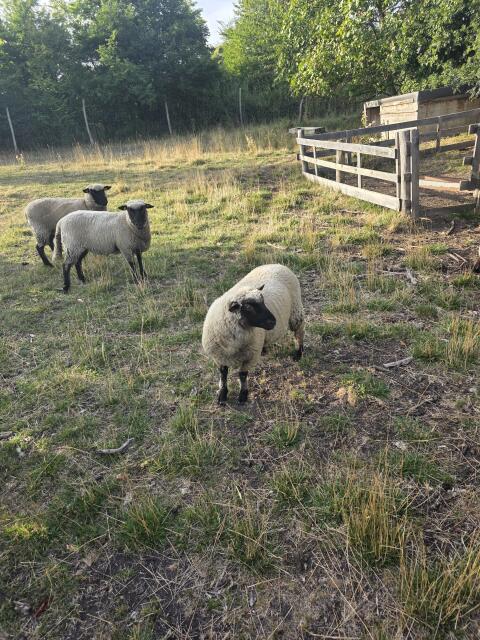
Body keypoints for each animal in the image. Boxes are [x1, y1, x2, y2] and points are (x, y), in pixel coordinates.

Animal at [202, 264, 304, 404]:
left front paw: (243, 395)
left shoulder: (250, 356)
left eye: (263, 301)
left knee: (299, 331)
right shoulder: (219, 357)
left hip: (295, 310)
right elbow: (223, 375)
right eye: (248, 308)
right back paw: (265, 349)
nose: (273, 321)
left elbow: (242, 375)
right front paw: (222, 395)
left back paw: (299, 353)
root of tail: (276, 264)